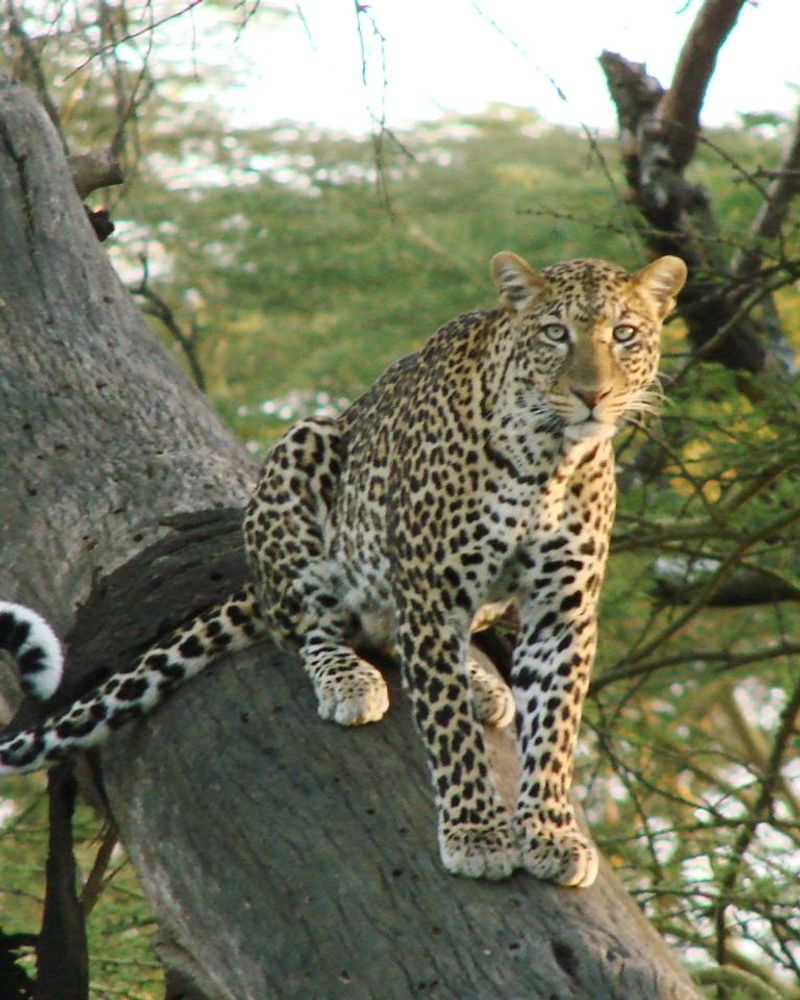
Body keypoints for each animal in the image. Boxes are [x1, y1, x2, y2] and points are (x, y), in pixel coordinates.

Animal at [0, 250, 686, 887]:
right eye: (555, 333)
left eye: (625, 333)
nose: (593, 394)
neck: (550, 459)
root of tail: (258, 583)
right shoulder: (430, 592)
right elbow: (448, 728)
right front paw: (477, 832)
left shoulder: (562, 610)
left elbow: (554, 729)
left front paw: (550, 832)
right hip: (308, 451)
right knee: (312, 629)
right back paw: (350, 680)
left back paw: (480, 682)